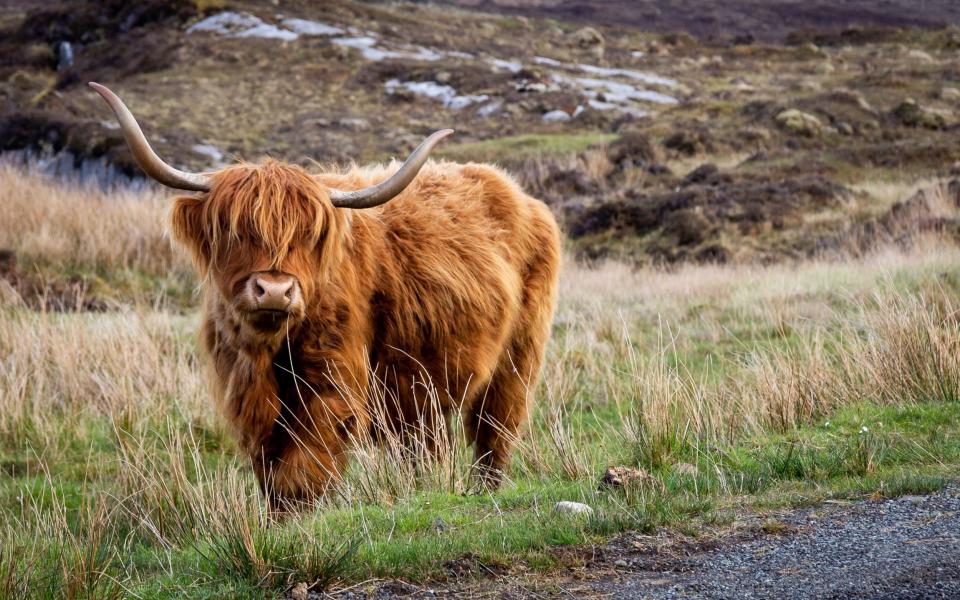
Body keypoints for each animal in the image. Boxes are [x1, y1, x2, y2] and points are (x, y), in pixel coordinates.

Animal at [91, 83, 564, 506]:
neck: (268, 351)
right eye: (236, 230)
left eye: (308, 234)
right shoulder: (245, 391)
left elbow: (304, 463)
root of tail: (520, 195)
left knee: (494, 432)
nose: (275, 290)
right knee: (427, 444)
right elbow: (271, 467)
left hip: (516, 361)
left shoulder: (333, 377)